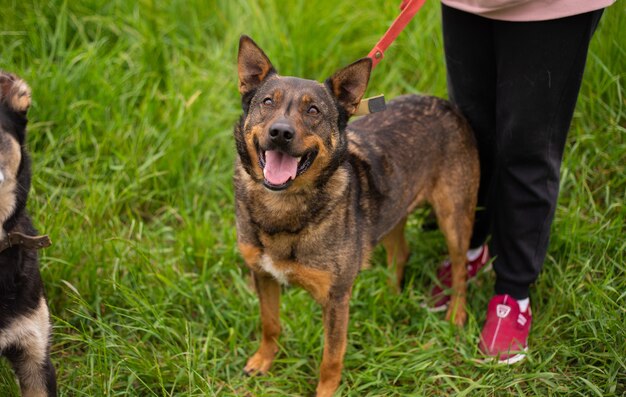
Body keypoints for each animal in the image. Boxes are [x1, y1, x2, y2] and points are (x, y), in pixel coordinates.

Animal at [234, 35, 478, 394]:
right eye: (267, 102)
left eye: (313, 110)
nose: (280, 132)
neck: (283, 205)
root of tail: (448, 106)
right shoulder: (262, 275)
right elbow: (270, 324)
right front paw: (263, 361)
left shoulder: (335, 298)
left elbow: (331, 357)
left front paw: (326, 391)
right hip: (393, 209)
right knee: (400, 252)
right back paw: (389, 296)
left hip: (454, 218)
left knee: (460, 271)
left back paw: (457, 316)